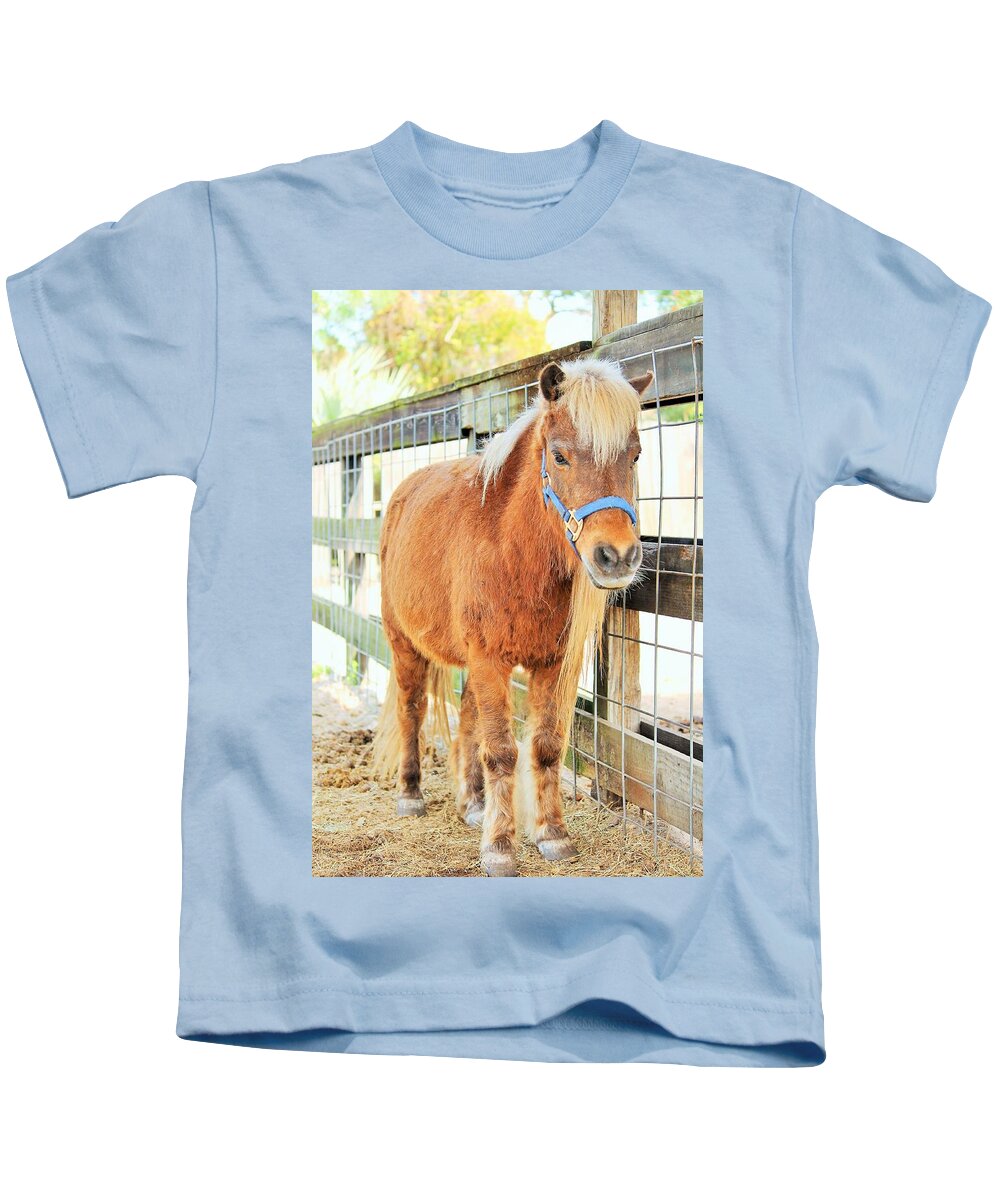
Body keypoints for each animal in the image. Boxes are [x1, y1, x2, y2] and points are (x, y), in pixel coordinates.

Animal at [372, 357, 652, 876]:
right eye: (559, 457)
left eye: (636, 456)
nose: (617, 556)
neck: (513, 551)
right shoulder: (489, 659)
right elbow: (502, 751)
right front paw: (500, 847)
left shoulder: (551, 665)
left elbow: (544, 747)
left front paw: (552, 834)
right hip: (404, 643)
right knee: (411, 710)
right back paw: (411, 793)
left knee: (466, 719)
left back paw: (472, 804)